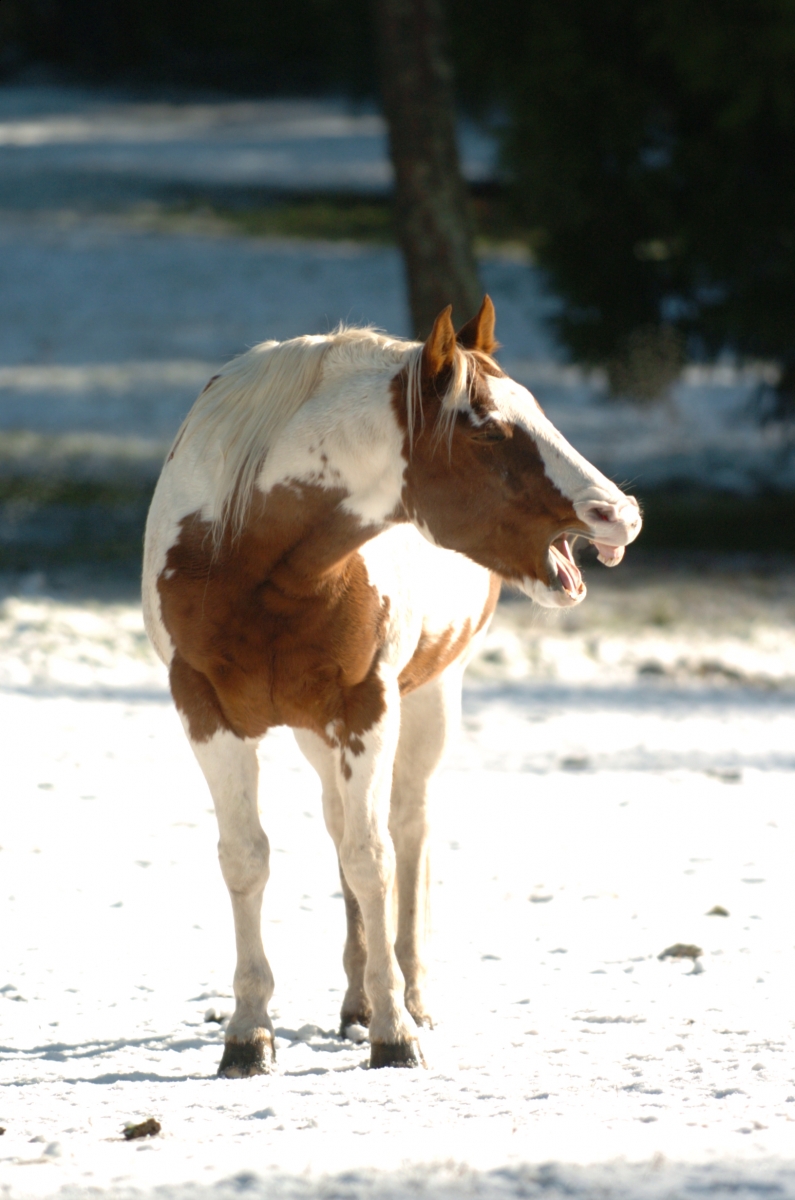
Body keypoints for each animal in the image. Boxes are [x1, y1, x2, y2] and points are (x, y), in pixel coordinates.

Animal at [142, 296, 641, 1077]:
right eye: (488, 427)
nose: (618, 513)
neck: (248, 557)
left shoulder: (367, 708)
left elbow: (372, 860)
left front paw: (394, 1031)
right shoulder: (206, 712)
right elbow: (248, 858)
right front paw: (249, 1034)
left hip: (426, 701)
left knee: (407, 828)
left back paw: (409, 995)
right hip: (314, 730)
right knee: (338, 823)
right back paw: (354, 1001)